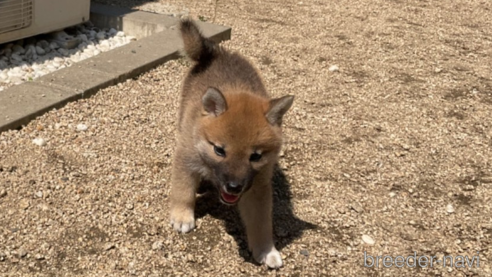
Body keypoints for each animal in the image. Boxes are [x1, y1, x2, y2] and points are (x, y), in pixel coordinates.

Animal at [169, 18, 292, 268]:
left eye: (256, 156)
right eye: (219, 150)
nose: (234, 187)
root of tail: (216, 53)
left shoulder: (257, 188)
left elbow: (261, 223)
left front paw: (266, 250)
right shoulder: (186, 159)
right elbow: (182, 189)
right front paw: (182, 216)